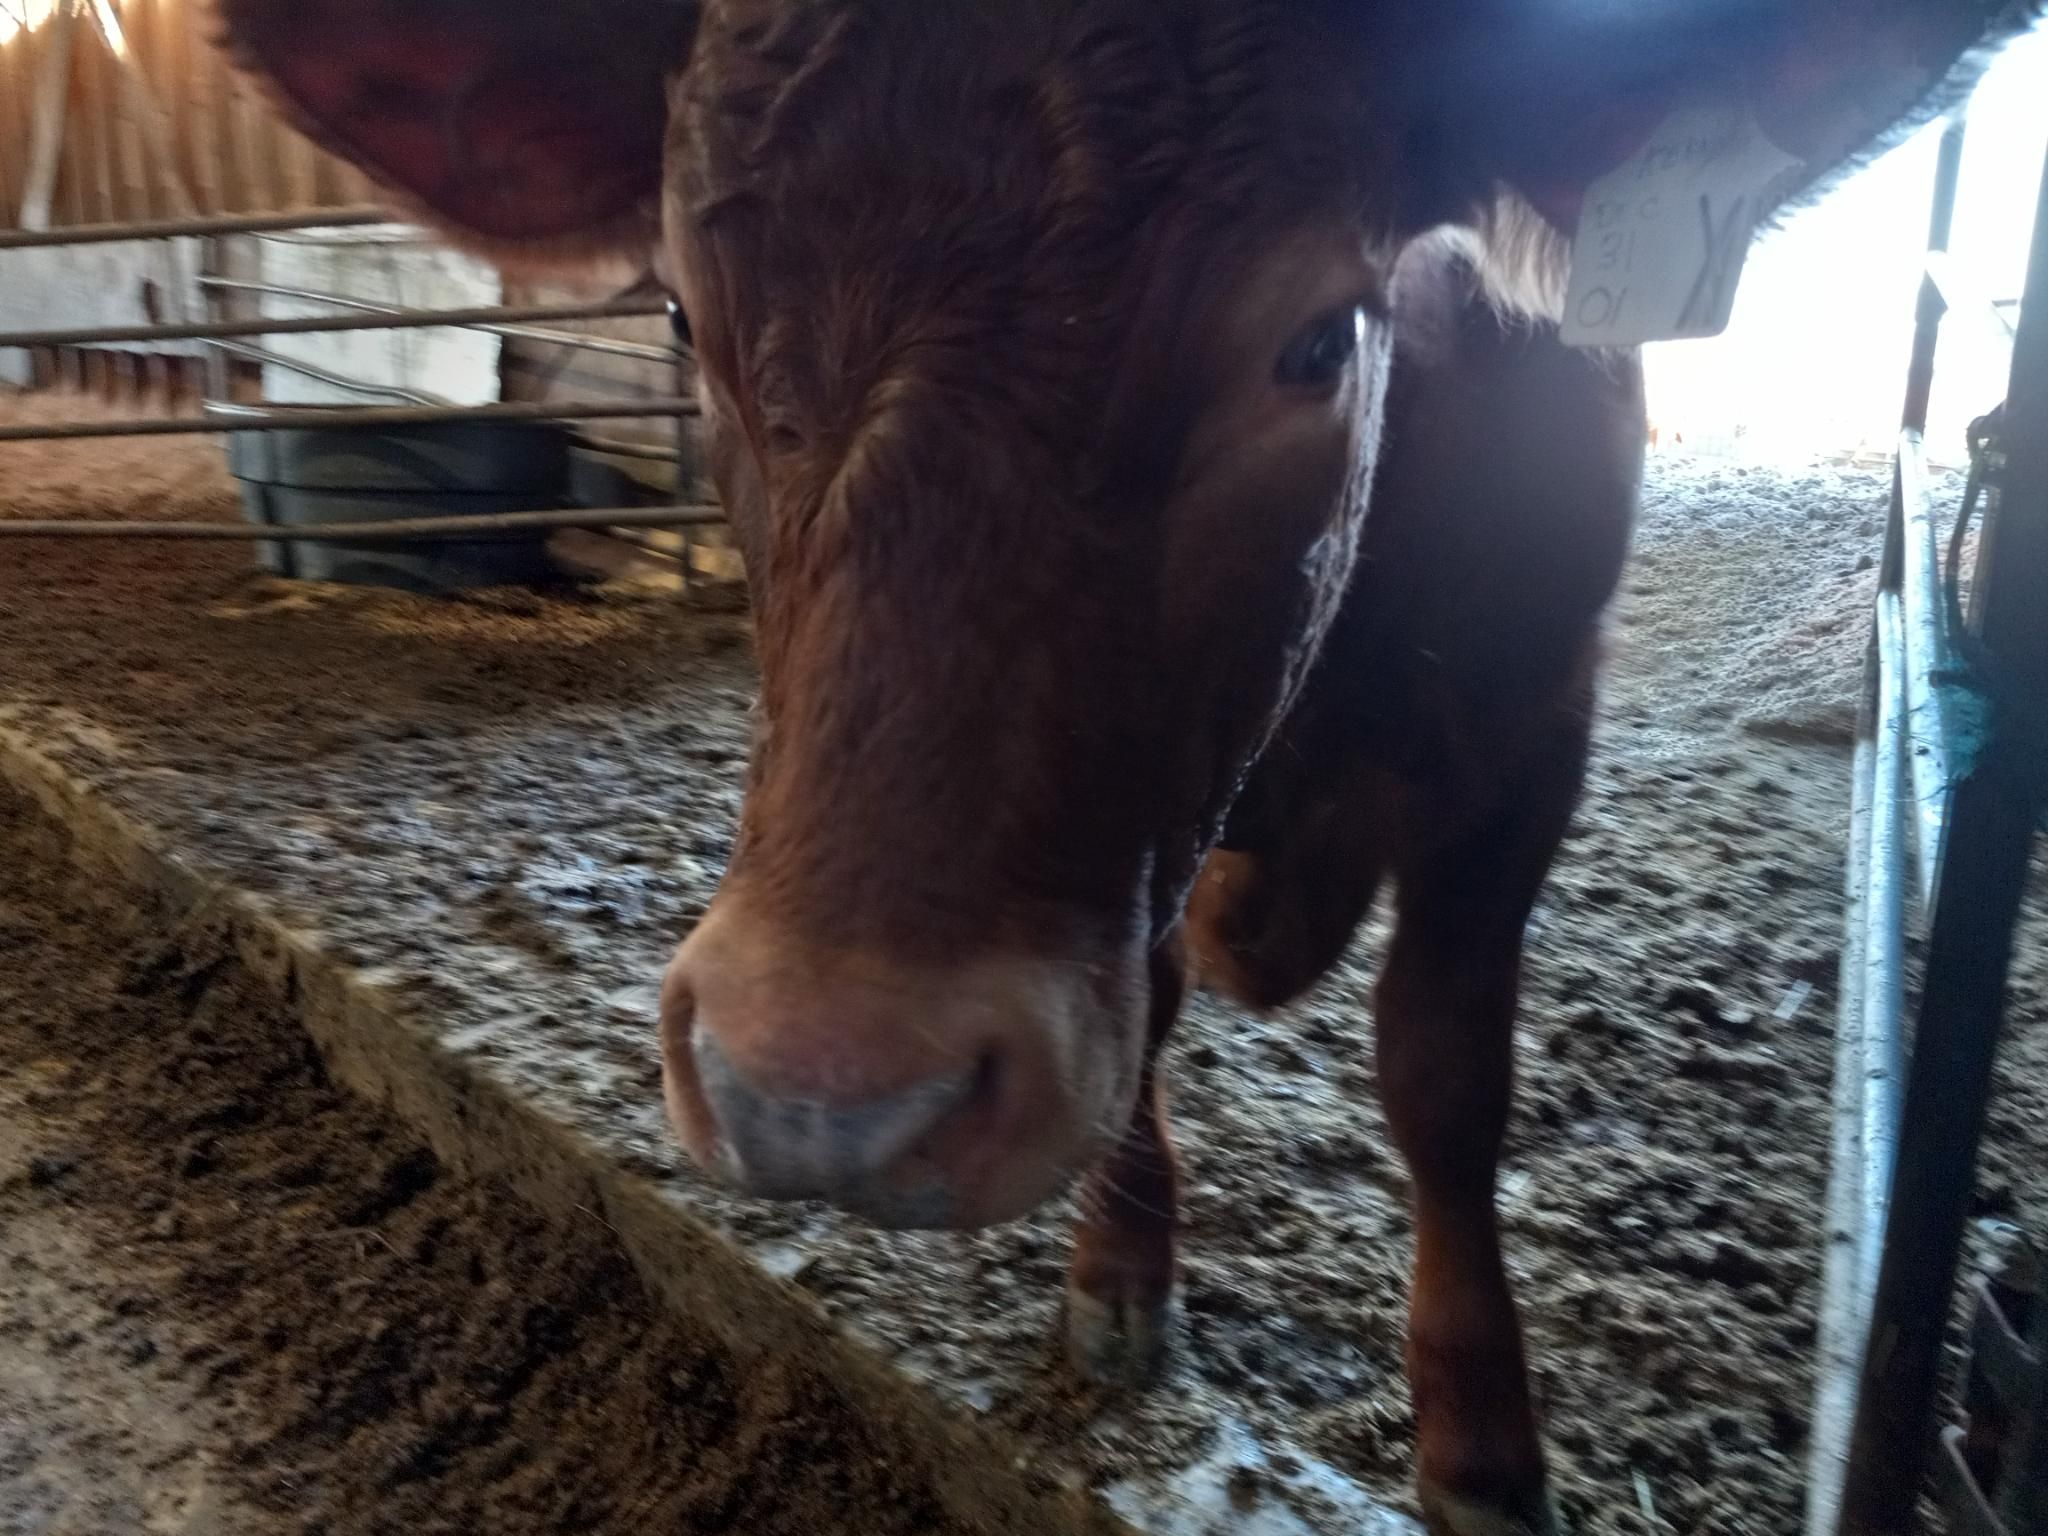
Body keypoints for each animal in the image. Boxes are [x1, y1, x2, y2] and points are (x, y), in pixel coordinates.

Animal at [216, 3, 2018, 1530]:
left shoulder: (1533, 729)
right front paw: (1119, 1273)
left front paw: (1482, 1441)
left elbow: (1444, 1077)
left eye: (1315, 337)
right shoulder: (1132, 850)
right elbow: (1139, 1011)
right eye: (680, 313)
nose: (817, 1094)